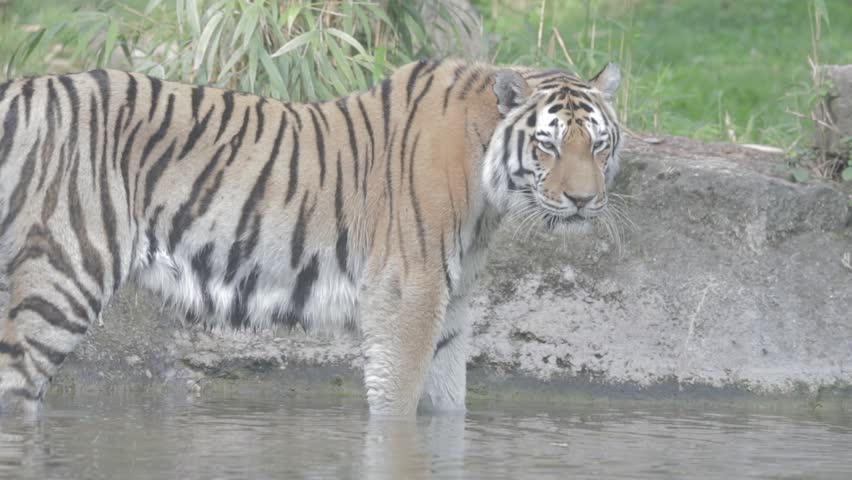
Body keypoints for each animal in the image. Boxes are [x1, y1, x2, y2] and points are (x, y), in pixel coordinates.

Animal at [0, 58, 622, 416]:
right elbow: (396, 409)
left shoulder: (451, 307)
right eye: (547, 145)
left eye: (597, 144)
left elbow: (448, 411)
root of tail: (26, 89)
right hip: (62, 278)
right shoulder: (407, 297)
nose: (583, 200)